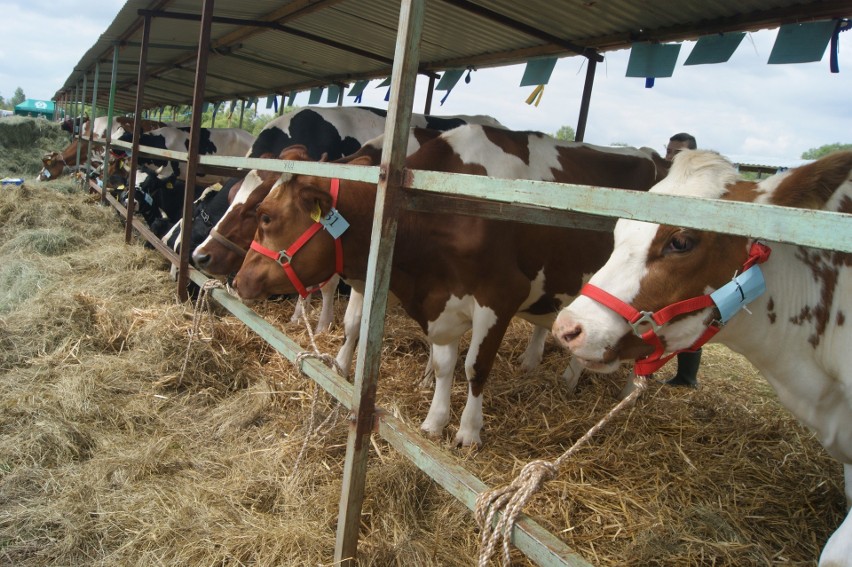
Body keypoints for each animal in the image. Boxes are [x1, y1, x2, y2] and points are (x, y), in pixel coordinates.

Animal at [231, 125, 664, 448]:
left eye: (264, 216)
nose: (238, 280)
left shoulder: (499, 296)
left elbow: (475, 367)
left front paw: (469, 432)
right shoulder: (439, 299)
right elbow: (443, 365)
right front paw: (434, 421)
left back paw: (629, 391)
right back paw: (560, 376)